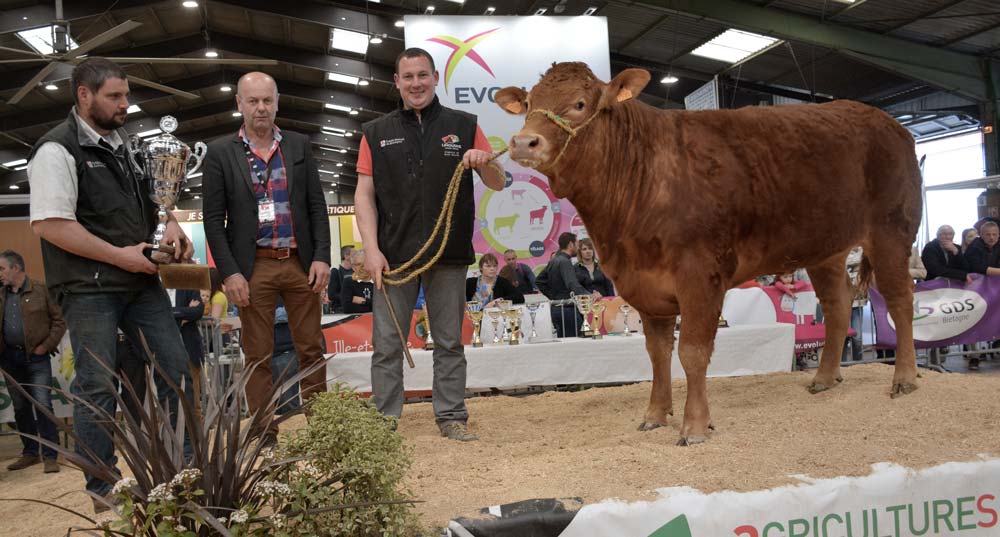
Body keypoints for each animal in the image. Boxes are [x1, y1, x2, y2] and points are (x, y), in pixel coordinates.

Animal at [496, 62, 924, 444]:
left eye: (580, 103)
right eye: (530, 101)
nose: (523, 142)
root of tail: (892, 123)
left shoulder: (700, 275)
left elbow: (692, 352)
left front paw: (695, 426)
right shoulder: (646, 287)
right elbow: (657, 354)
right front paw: (655, 415)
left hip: (891, 230)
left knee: (900, 299)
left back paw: (904, 378)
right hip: (826, 250)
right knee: (837, 304)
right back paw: (824, 378)